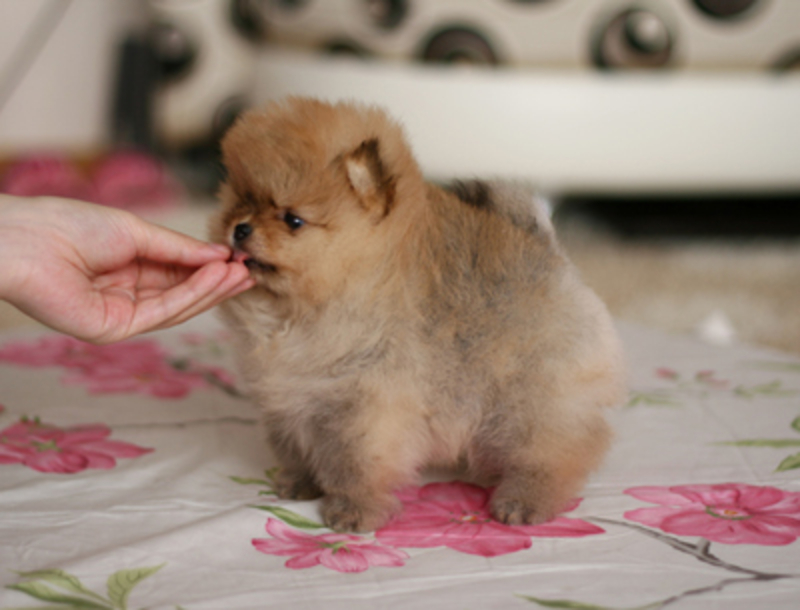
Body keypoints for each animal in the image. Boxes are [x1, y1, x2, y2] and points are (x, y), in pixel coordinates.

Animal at [208, 97, 624, 528]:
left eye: (293, 220)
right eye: (241, 202)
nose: (239, 229)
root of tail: (549, 252)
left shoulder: (365, 407)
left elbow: (356, 465)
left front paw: (354, 511)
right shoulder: (291, 399)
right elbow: (295, 446)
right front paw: (300, 482)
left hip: (534, 397)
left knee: (557, 450)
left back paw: (524, 500)